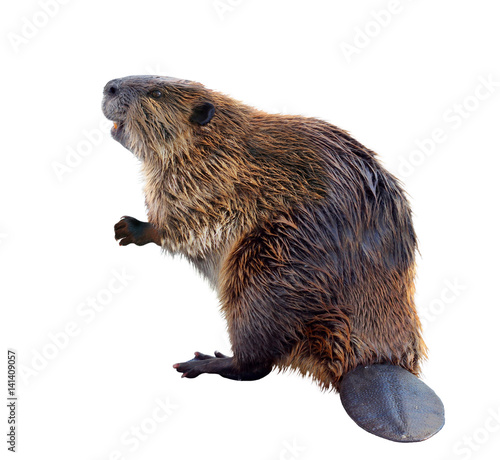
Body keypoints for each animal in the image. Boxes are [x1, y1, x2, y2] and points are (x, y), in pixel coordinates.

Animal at [101, 75, 446, 442]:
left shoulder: (204, 182)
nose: (109, 86)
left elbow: (181, 223)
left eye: (156, 93)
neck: (215, 145)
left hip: (262, 270)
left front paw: (129, 228)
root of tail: (375, 364)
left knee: (257, 364)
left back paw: (204, 362)